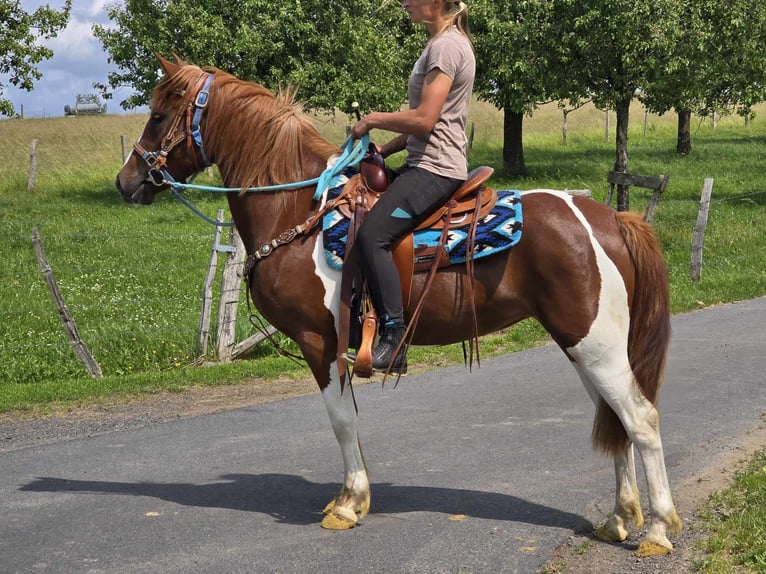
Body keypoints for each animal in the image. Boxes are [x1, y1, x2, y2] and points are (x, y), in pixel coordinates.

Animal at [116, 56, 681, 557]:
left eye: (159, 115)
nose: (126, 182)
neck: (300, 211)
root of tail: (611, 219)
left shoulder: (320, 342)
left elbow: (342, 419)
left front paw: (349, 504)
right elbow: (350, 419)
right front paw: (353, 498)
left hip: (596, 345)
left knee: (641, 419)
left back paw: (656, 530)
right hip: (582, 345)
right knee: (614, 420)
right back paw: (618, 519)